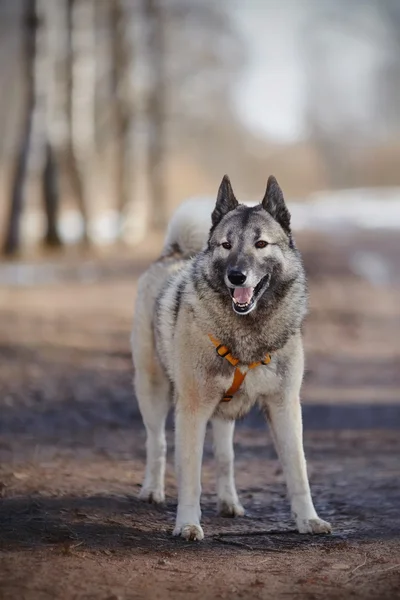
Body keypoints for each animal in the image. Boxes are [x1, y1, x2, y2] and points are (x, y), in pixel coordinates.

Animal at [131, 176, 332, 540]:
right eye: (225, 245)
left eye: (261, 243)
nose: (236, 275)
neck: (247, 331)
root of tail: (174, 253)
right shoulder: (192, 410)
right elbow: (191, 476)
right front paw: (187, 524)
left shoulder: (284, 406)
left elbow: (298, 470)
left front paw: (308, 520)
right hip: (153, 389)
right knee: (157, 443)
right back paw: (152, 490)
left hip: (223, 411)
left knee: (225, 456)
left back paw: (228, 502)